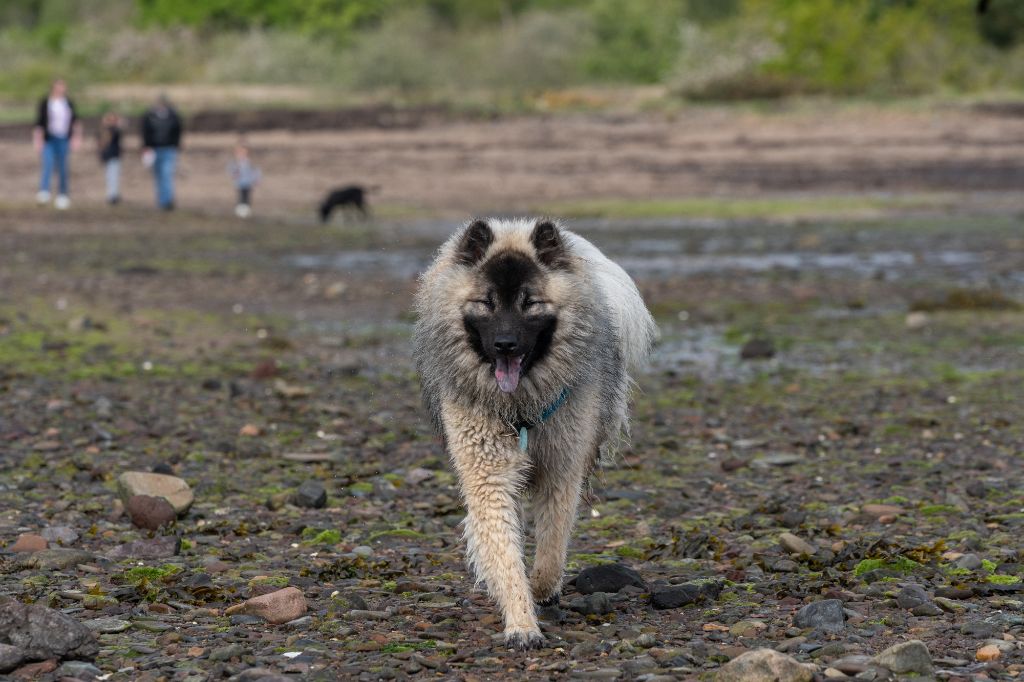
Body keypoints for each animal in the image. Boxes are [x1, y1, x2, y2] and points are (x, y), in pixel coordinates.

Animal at [413, 218, 659, 647]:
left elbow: (552, 544)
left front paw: (543, 587)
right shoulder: (488, 471)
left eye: (530, 303)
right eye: (487, 302)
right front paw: (521, 623)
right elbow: (503, 548)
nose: (505, 345)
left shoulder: (563, 466)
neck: (520, 407)